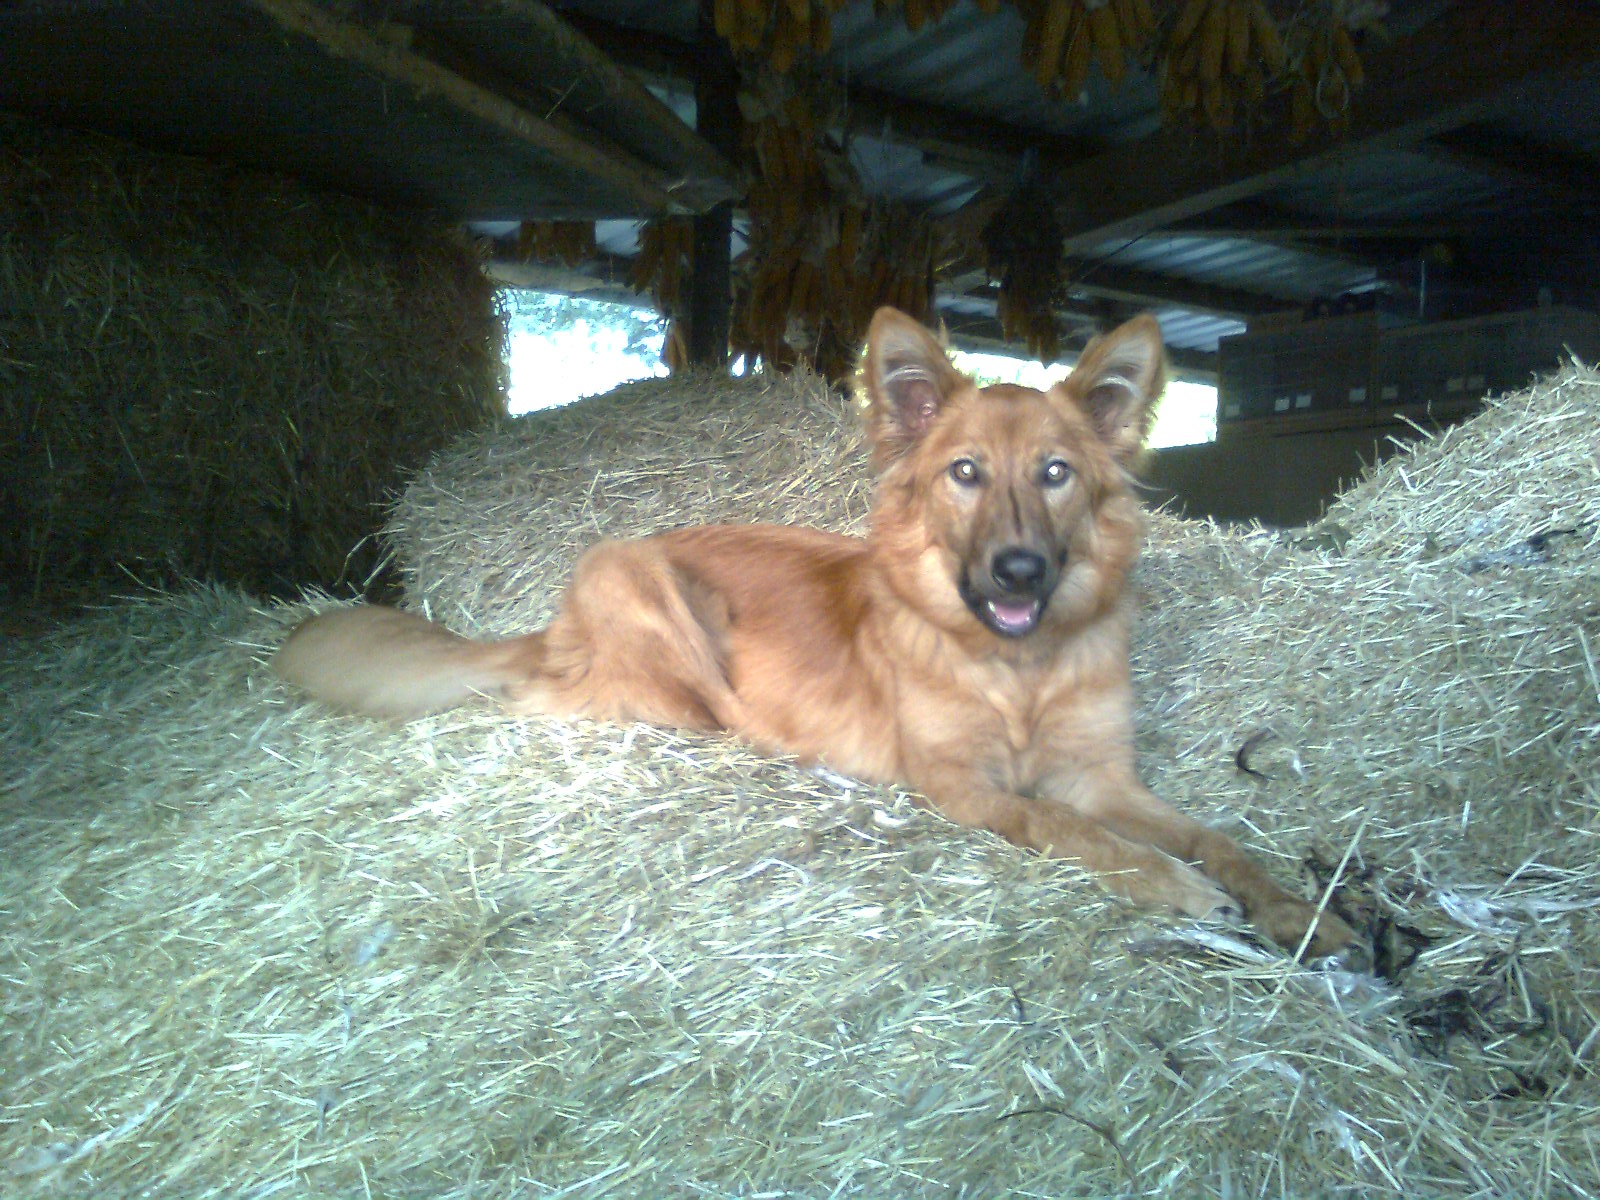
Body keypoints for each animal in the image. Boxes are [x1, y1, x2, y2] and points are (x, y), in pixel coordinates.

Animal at [273, 307, 1358, 959]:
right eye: (965, 473)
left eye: (1055, 473)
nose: (1018, 572)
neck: (1016, 670)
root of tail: (548, 627)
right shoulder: (967, 786)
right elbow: (1072, 829)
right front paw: (1178, 887)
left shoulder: (1105, 777)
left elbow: (1218, 836)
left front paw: (1299, 909)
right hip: (636, 579)